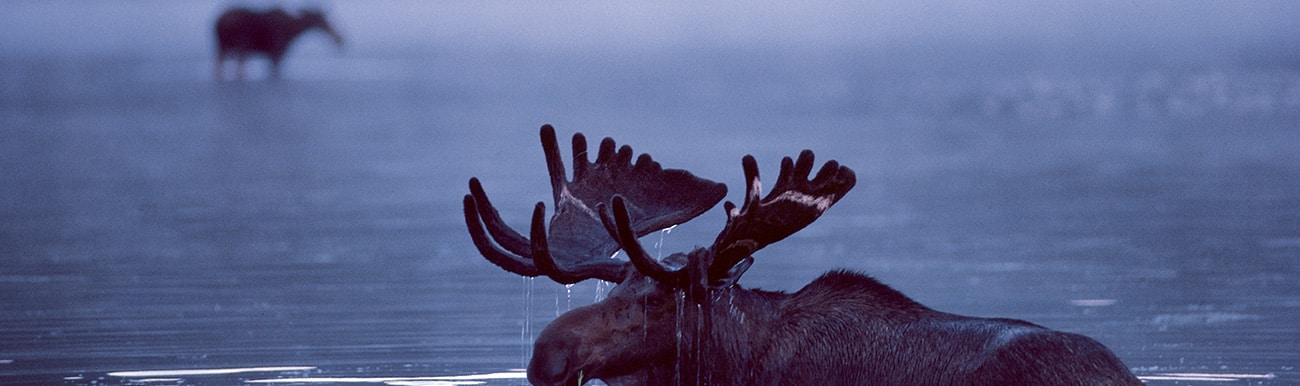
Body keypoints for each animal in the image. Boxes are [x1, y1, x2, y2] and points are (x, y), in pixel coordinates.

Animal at [209, 6, 340, 79]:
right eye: (321, 20)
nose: (339, 38)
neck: (293, 32)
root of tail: (218, 21)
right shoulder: (276, 53)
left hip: (222, 45)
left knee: (220, 65)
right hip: (240, 45)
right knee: (238, 68)